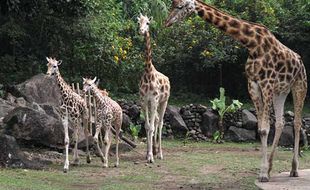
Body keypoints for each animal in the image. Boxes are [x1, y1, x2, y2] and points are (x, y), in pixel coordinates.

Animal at [165, 0, 308, 182]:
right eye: (172, 4)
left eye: (180, 6)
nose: (167, 22)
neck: (252, 44)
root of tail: (300, 61)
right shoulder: (253, 84)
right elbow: (261, 129)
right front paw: (264, 171)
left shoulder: (266, 84)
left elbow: (265, 129)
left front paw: (263, 174)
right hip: (281, 92)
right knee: (282, 122)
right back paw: (271, 167)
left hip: (299, 86)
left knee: (297, 123)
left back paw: (294, 169)